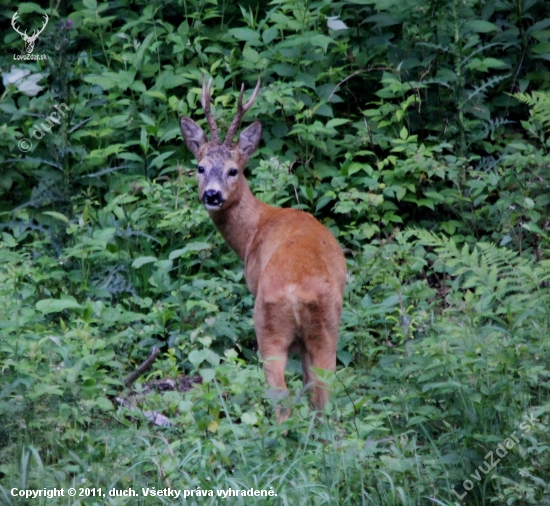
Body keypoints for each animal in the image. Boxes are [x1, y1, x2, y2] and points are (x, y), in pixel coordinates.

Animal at [180, 76, 344, 422]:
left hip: (267, 324)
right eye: (200, 167)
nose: (212, 195)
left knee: (281, 394)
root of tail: (296, 292)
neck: (255, 230)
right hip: (325, 328)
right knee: (321, 393)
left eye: (233, 170)